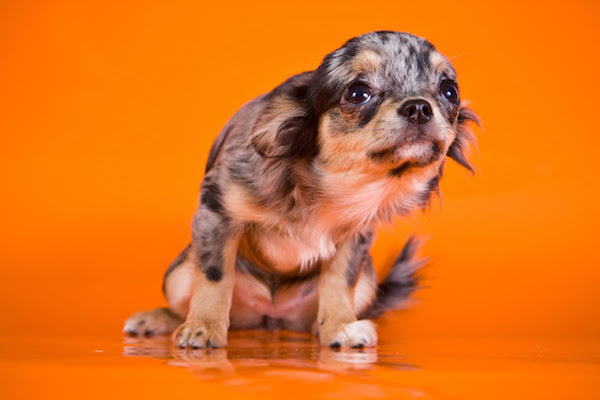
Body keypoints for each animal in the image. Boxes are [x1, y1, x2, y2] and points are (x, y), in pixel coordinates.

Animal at [122, 31, 478, 348]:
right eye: (357, 93)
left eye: (449, 92)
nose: (419, 107)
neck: (334, 184)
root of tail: (271, 316)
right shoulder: (217, 210)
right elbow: (213, 277)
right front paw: (203, 327)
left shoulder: (355, 240)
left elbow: (338, 283)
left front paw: (340, 327)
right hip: (179, 273)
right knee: (186, 298)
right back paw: (159, 319)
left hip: (367, 280)